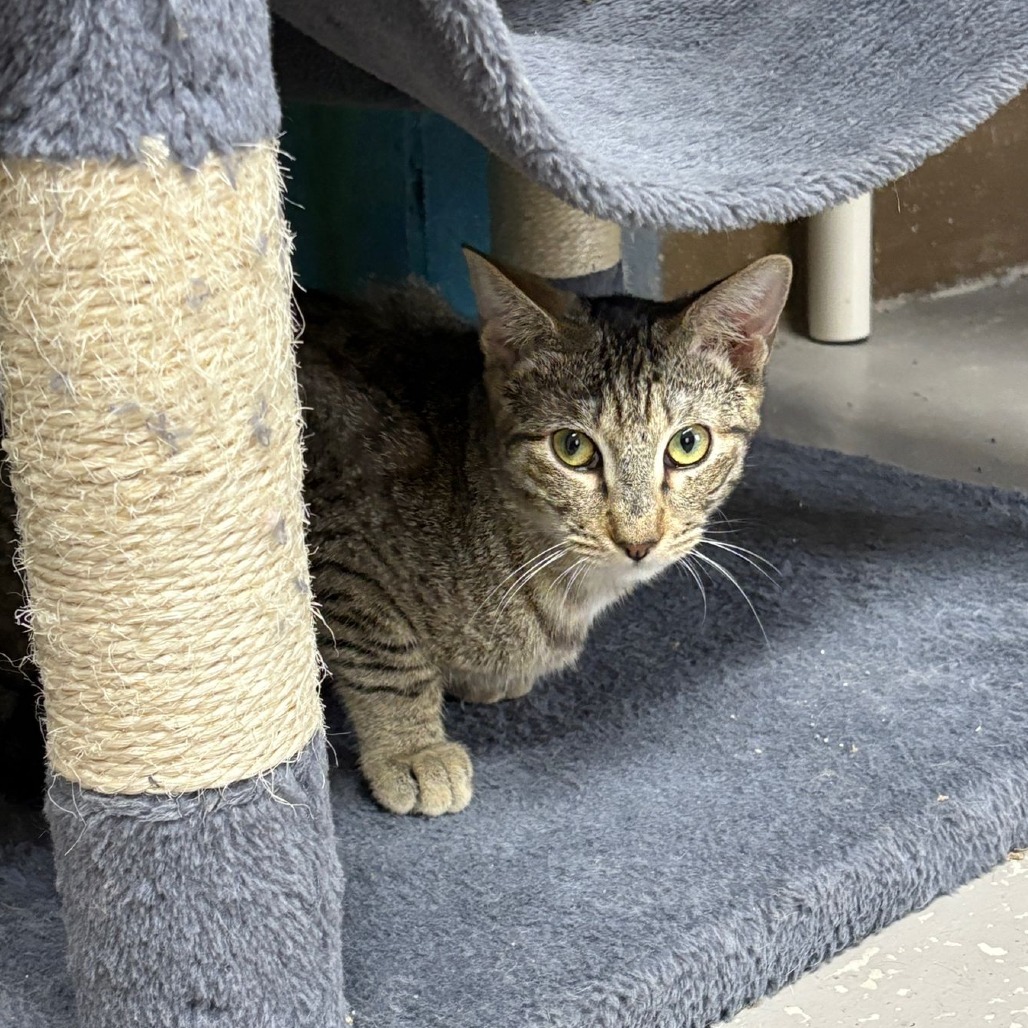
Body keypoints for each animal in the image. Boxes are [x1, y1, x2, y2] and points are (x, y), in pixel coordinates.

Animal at [298, 244, 793, 814]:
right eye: (572, 447)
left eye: (688, 444)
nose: (638, 542)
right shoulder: (335, 538)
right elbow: (386, 655)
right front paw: (412, 748)